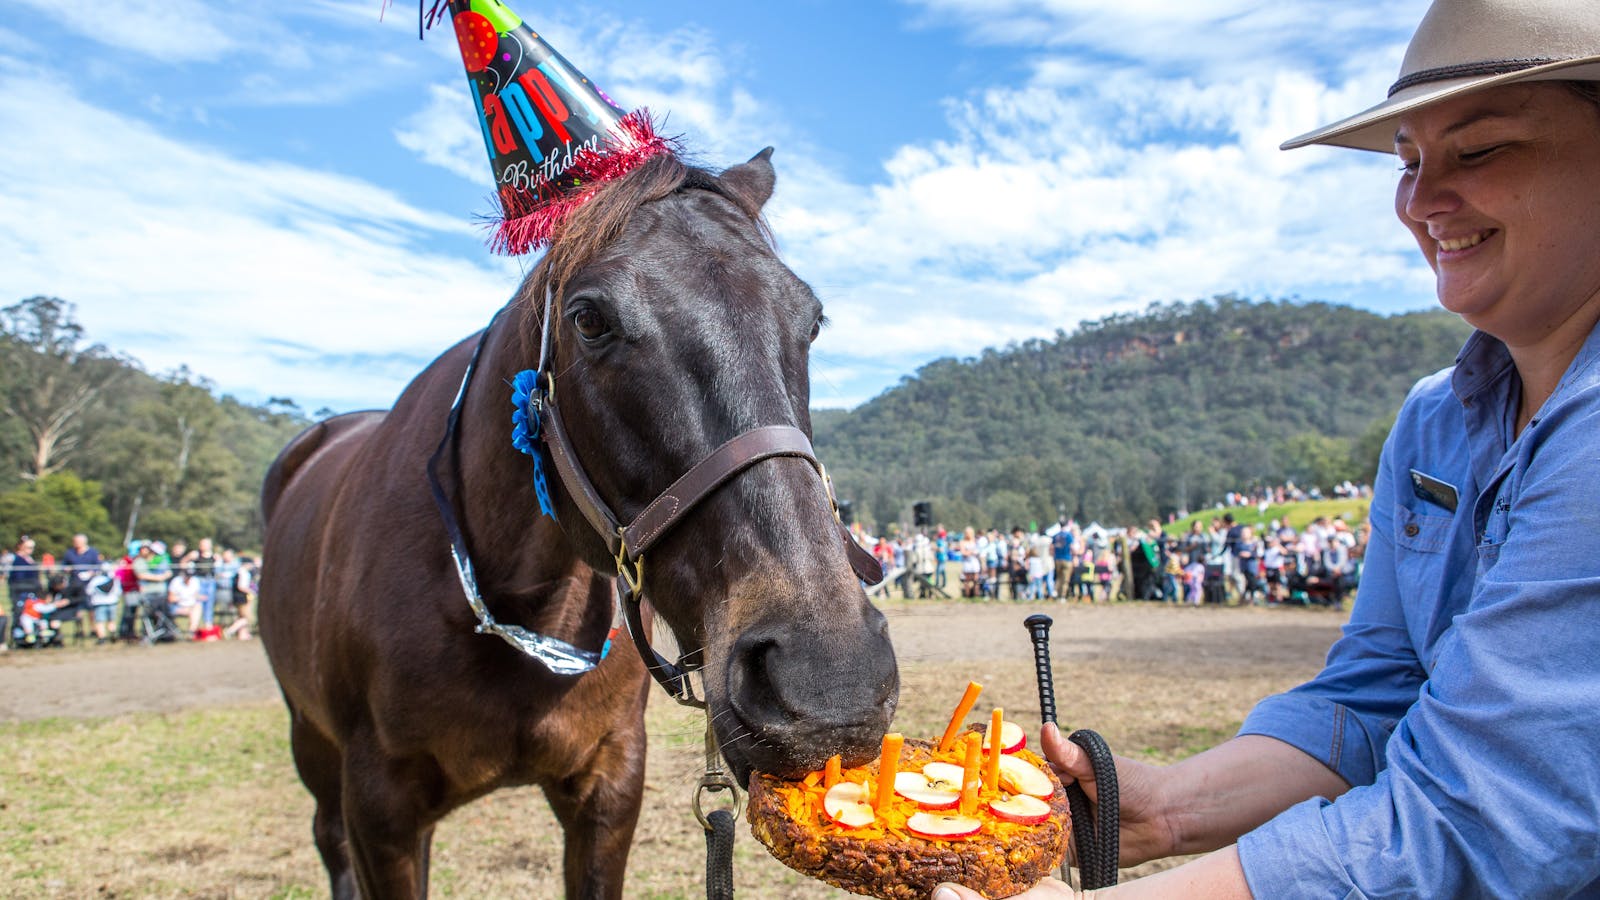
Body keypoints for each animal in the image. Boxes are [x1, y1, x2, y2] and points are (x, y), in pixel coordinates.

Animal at [262, 150, 902, 890]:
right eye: (589, 319)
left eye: (813, 320)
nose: (831, 682)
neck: (519, 609)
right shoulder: (380, 810)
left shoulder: (610, 783)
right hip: (310, 741)